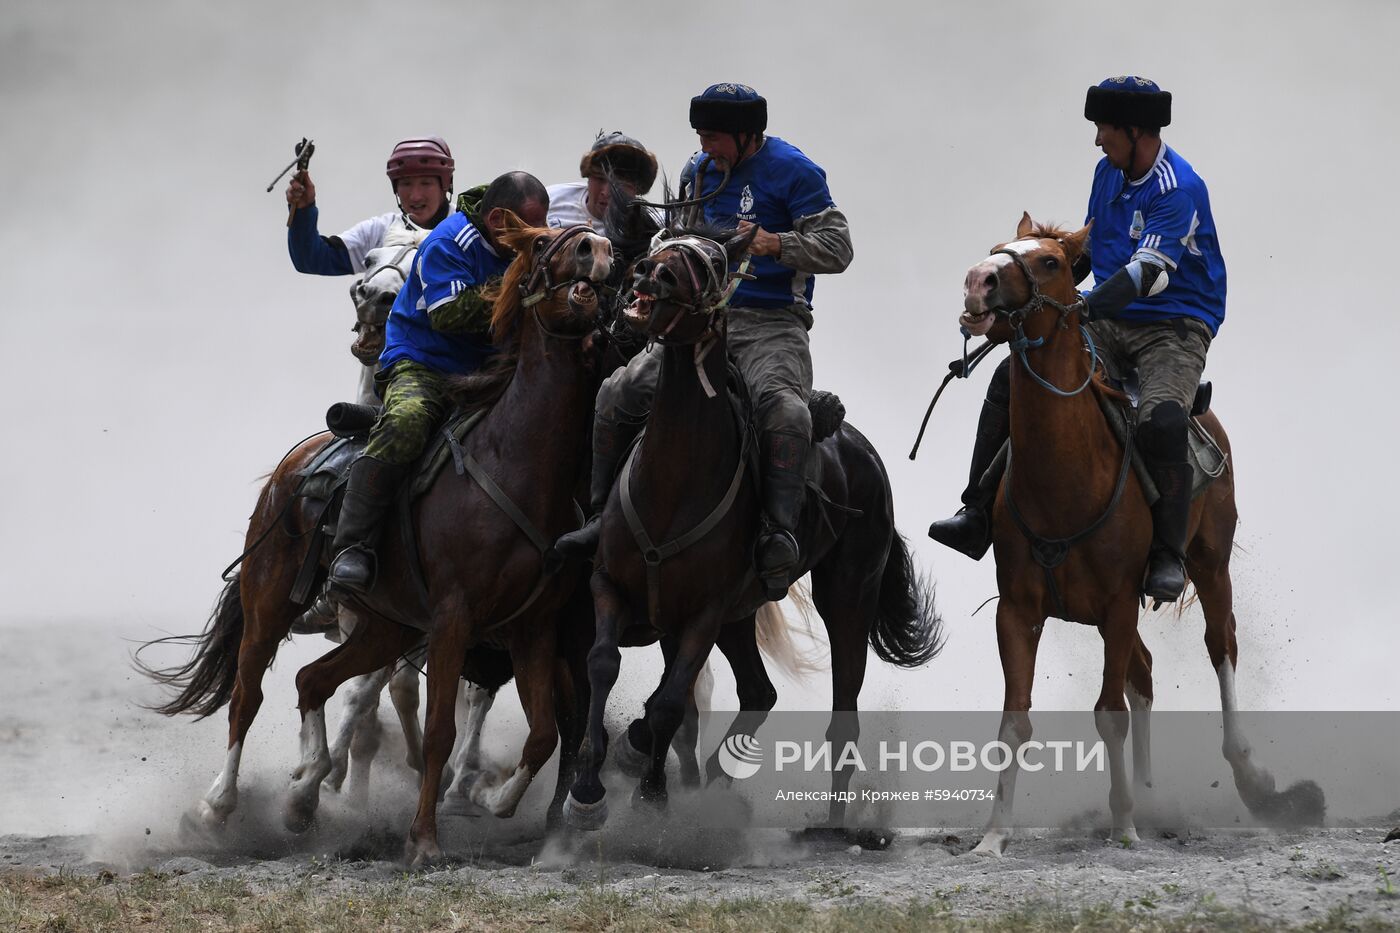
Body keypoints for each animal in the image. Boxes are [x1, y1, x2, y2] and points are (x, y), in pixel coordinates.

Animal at [139, 214, 616, 862]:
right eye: (543, 242)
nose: (599, 249)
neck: (515, 457)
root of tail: (298, 462)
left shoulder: (532, 627)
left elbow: (542, 731)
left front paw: (493, 800)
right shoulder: (453, 619)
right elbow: (439, 731)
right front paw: (424, 841)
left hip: (387, 627)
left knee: (313, 680)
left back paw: (301, 800)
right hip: (270, 604)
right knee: (246, 697)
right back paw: (217, 808)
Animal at [562, 219, 946, 834]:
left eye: (716, 261)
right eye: (666, 245)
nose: (648, 274)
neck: (672, 482)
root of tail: (862, 451)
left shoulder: (703, 612)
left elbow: (669, 702)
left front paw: (650, 795)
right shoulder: (614, 586)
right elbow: (604, 666)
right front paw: (589, 789)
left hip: (847, 597)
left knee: (841, 717)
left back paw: (830, 823)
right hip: (741, 617)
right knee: (759, 692)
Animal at [957, 212, 1327, 851]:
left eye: (1050, 261)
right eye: (996, 249)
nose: (979, 282)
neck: (1065, 477)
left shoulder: (1118, 601)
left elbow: (1110, 714)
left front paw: (1124, 826)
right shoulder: (1019, 609)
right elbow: (1015, 720)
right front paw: (994, 837)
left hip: (1208, 564)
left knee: (1221, 644)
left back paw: (1245, 778)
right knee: (1147, 672)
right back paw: (1152, 797)